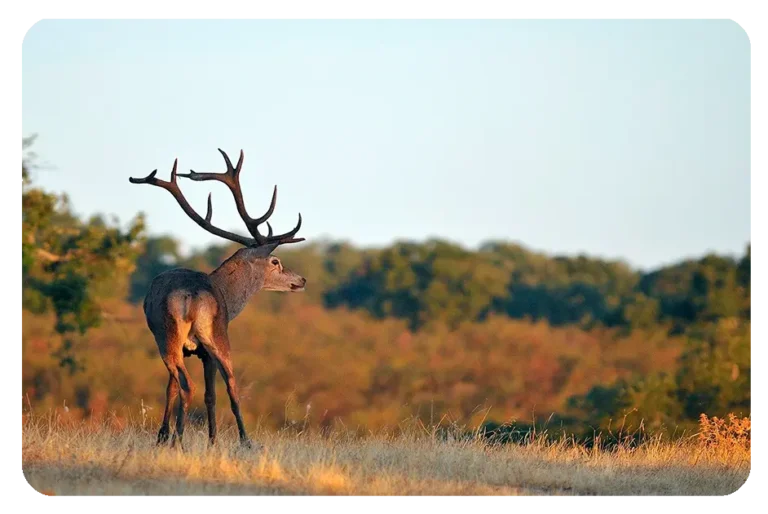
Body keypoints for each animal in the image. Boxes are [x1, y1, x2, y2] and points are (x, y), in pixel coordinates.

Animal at [127, 148, 304, 448]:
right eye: (276, 262)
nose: (301, 280)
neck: (227, 296)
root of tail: (192, 295)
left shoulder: (197, 351)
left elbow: (179, 389)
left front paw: (168, 435)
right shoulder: (204, 350)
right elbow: (208, 394)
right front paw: (205, 439)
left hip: (171, 337)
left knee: (193, 384)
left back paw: (182, 438)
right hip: (209, 334)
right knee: (221, 384)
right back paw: (224, 440)